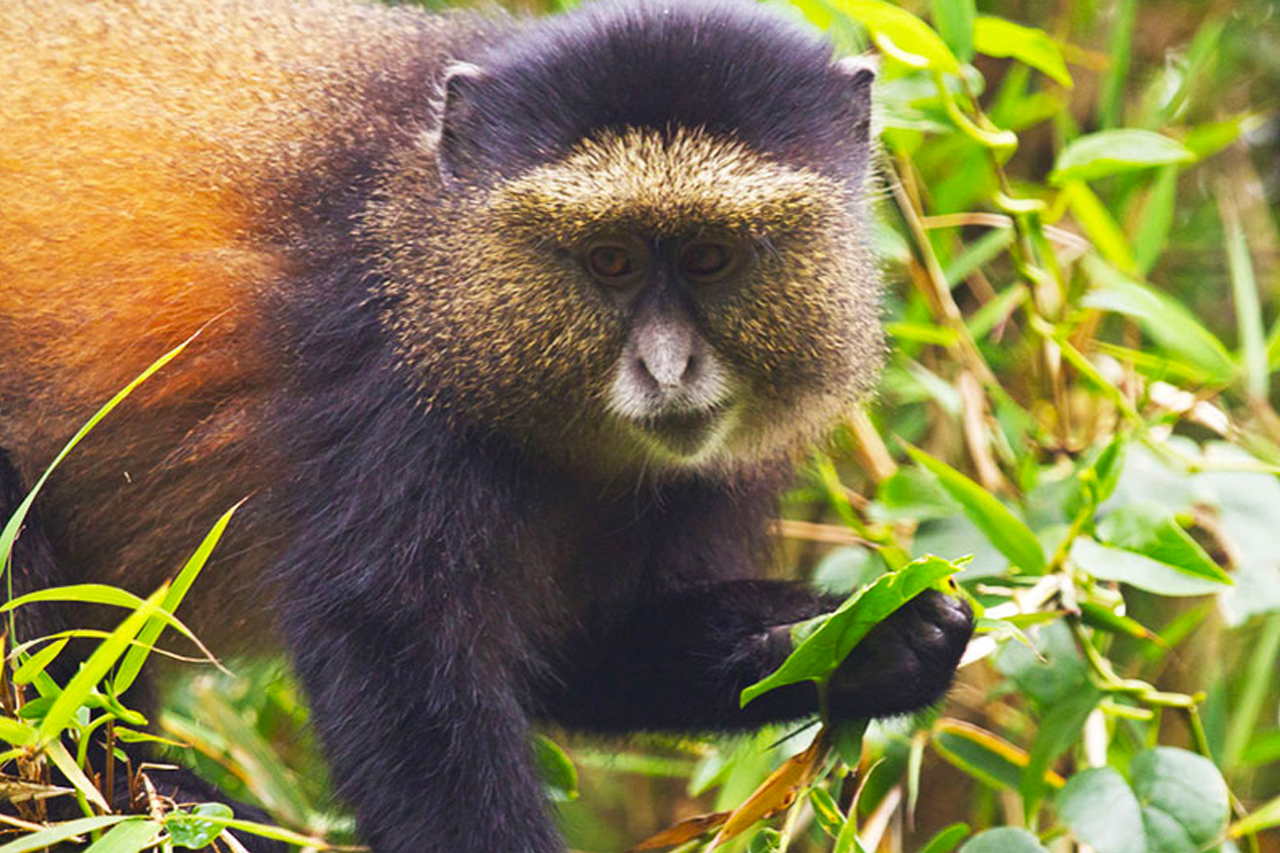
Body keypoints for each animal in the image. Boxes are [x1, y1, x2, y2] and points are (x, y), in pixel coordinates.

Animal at [0, 0, 975, 850]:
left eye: (709, 257)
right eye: (610, 261)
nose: (668, 368)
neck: (442, 245)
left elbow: (580, 647)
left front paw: (878, 643)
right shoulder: (392, 385)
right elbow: (390, 643)